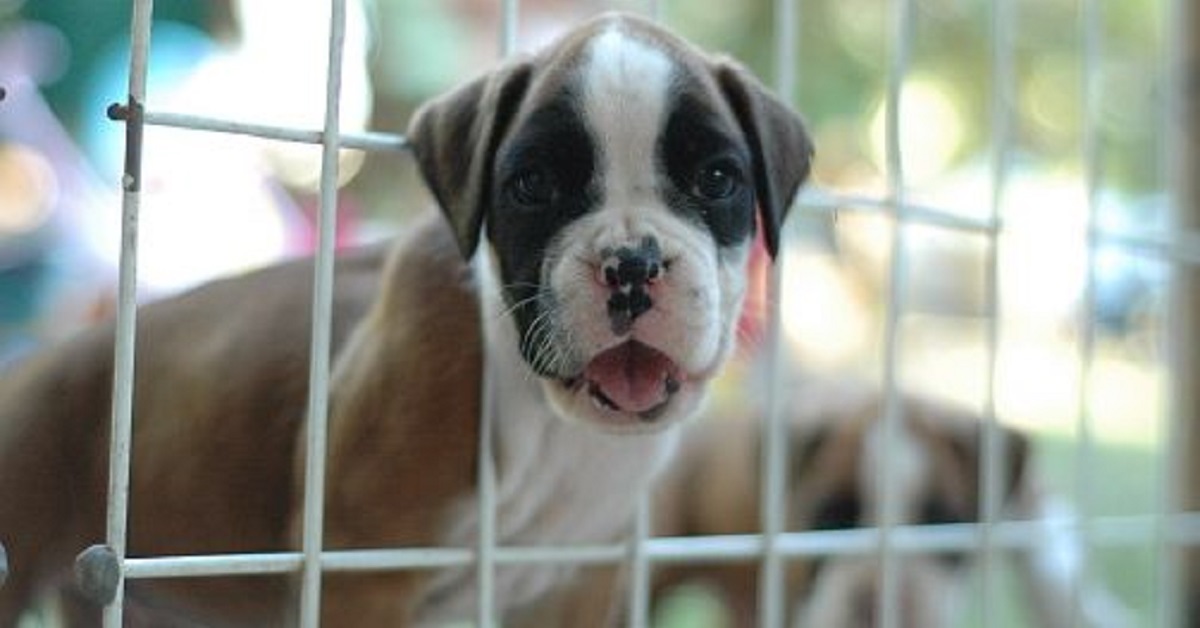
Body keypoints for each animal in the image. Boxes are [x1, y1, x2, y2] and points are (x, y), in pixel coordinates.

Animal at [0, 11, 816, 628]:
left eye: (717, 178)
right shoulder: (359, 573)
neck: (548, 423)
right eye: (533, 185)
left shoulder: (573, 583)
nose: (633, 263)